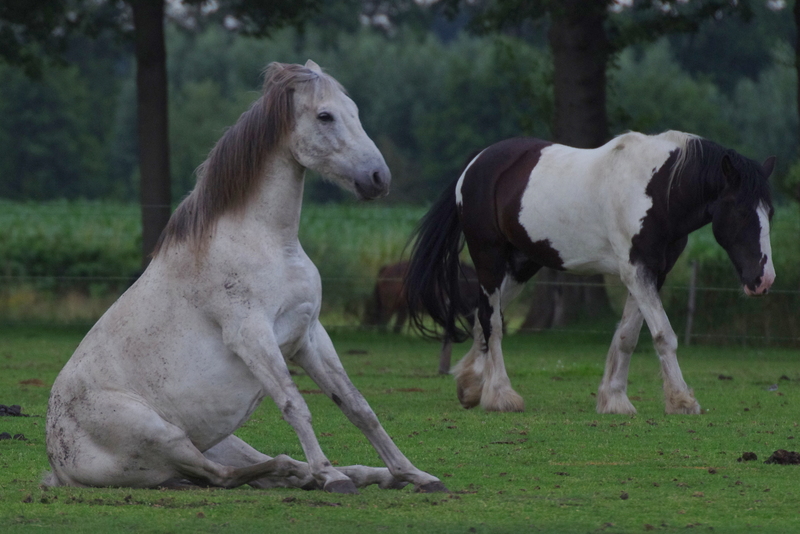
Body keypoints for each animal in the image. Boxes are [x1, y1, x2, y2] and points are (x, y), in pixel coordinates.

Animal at [45, 61, 447, 494]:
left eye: (354, 110)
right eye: (325, 115)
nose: (377, 177)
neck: (267, 241)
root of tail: (57, 462)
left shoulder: (309, 335)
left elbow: (358, 407)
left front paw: (415, 474)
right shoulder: (252, 335)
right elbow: (294, 404)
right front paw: (329, 475)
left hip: (222, 442)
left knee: (237, 469)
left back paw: (365, 476)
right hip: (164, 436)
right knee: (220, 476)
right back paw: (306, 473)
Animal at [405, 131, 775, 414]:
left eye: (769, 211)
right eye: (741, 211)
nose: (764, 280)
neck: (658, 189)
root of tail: (475, 164)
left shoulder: (653, 273)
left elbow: (628, 336)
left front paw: (615, 399)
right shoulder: (635, 271)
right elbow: (663, 335)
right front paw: (682, 400)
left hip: (520, 266)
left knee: (481, 318)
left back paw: (470, 386)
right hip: (489, 258)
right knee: (491, 322)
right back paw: (501, 395)